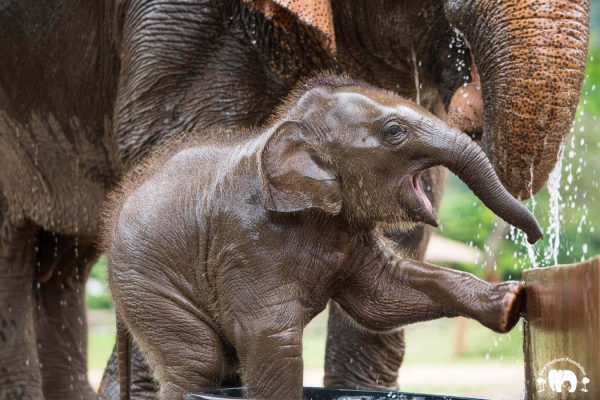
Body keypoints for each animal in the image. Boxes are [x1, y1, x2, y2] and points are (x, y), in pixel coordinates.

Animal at [104, 73, 544, 398]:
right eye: (395, 132)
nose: (536, 238)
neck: (282, 128)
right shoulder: (245, 240)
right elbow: (270, 336)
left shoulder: (349, 229)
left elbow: (384, 295)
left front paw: (509, 301)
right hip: (146, 284)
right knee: (199, 361)